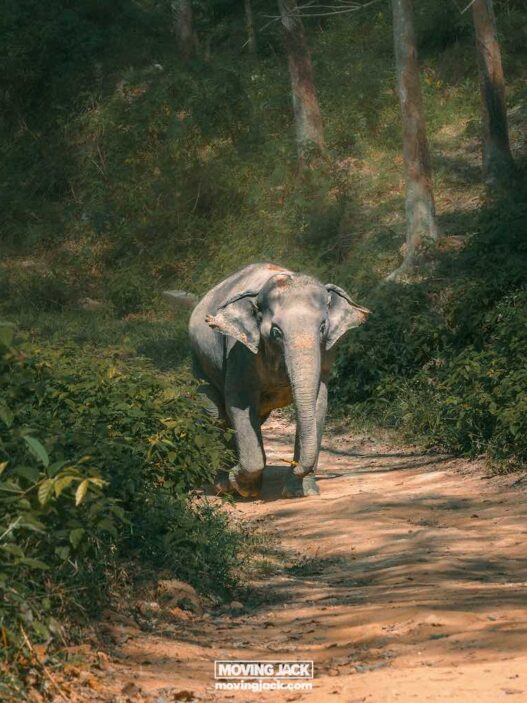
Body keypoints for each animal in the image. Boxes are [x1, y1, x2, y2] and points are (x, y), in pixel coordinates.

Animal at [188, 263, 369, 498]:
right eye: (276, 332)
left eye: (322, 327)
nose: (295, 465)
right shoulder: (240, 351)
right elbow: (238, 403)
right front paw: (242, 485)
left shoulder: (327, 353)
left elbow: (318, 403)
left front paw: (301, 491)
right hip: (199, 363)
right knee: (214, 414)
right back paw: (222, 485)